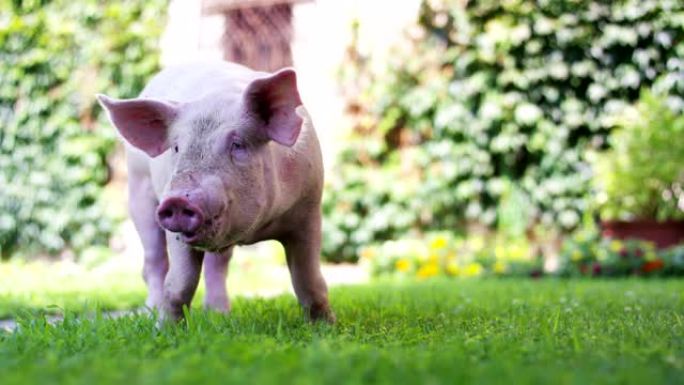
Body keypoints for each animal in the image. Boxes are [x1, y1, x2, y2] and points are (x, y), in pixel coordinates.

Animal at [95, 60, 334, 320]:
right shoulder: (173, 230)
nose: (178, 201)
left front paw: (325, 325)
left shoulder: (309, 209)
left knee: (217, 264)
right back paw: (152, 312)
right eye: (176, 147)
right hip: (139, 192)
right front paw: (165, 327)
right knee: (154, 262)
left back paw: (219, 314)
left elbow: (309, 280)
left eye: (238, 145)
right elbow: (179, 283)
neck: (256, 230)